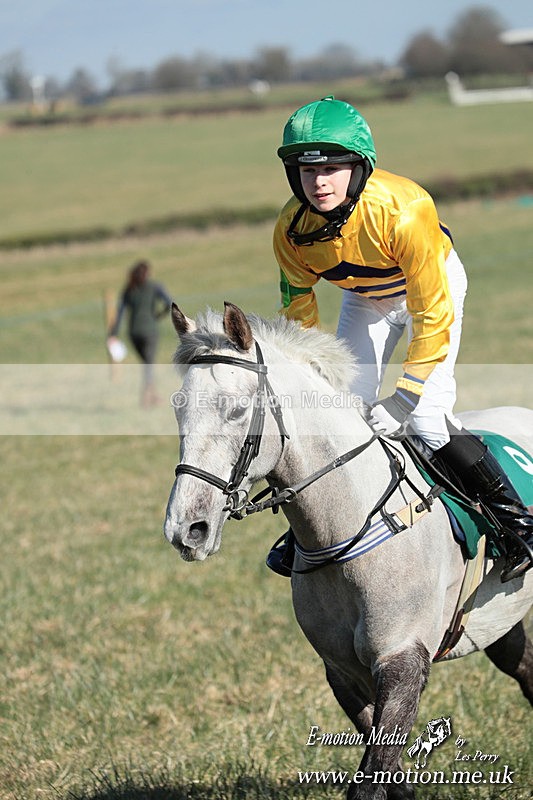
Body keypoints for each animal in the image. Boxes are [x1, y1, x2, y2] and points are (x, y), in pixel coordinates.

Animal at [164, 302, 533, 800]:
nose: (187, 529)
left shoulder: (402, 659)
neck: (349, 529)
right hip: (494, 621)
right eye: (178, 411)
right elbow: (383, 767)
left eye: (238, 410)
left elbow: (373, 774)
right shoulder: (342, 670)